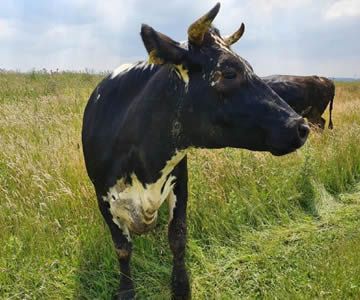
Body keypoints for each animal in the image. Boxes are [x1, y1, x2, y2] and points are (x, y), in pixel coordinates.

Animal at [81, 2, 310, 300]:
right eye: (229, 73)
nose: (300, 126)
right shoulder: (103, 197)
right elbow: (122, 249)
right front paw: (126, 290)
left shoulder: (180, 181)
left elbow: (178, 238)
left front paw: (180, 287)